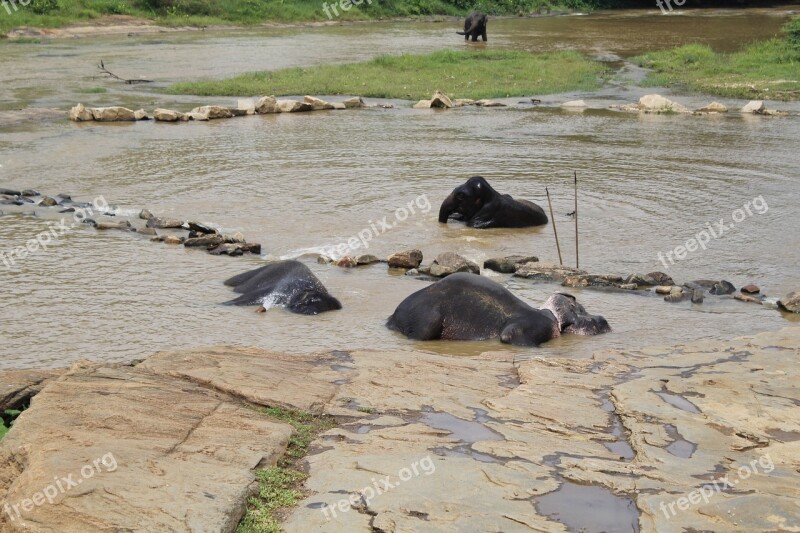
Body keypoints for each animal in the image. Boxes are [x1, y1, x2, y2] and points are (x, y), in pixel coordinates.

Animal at [386, 274, 608, 344]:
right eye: (583, 311)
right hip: (428, 319)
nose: (604, 320)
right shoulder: (539, 324)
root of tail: (392, 319)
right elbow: (509, 335)